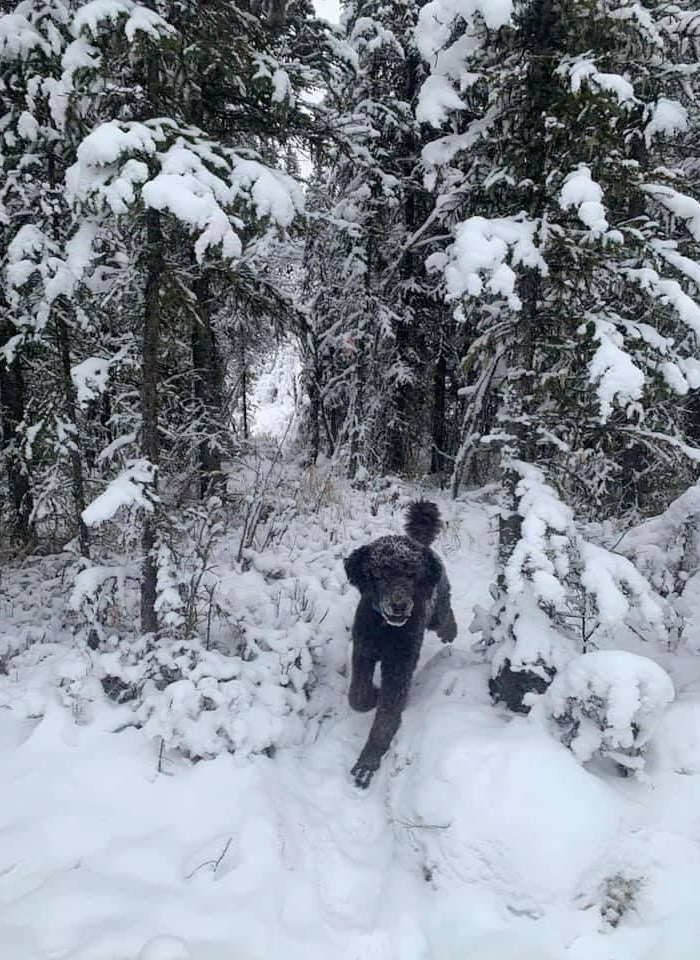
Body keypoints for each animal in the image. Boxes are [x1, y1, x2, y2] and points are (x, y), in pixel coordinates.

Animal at [346, 498, 460, 784]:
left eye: (410, 574)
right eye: (379, 574)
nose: (398, 606)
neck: (386, 629)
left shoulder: (399, 667)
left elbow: (386, 717)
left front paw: (368, 761)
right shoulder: (363, 651)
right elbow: (356, 696)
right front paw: (372, 696)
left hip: (436, 605)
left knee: (444, 614)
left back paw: (450, 631)